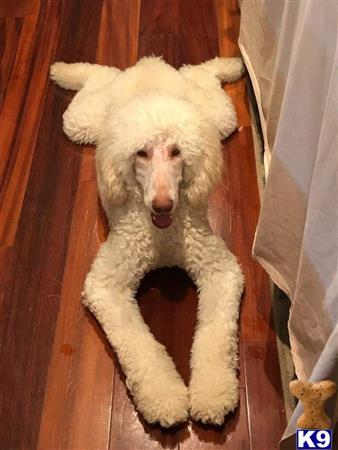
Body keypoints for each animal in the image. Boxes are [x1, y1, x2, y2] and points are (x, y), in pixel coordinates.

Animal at [50, 55, 244, 426]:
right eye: (141, 153)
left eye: (177, 151)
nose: (163, 204)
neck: (163, 234)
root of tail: (148, 64)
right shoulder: (106, 284)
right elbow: (139, 344)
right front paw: (164, 397)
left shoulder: (221, 270)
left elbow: (217, 334)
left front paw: (212, 392)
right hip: (81, 121)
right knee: (96, 77)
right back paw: (64, 70)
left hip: (219, 116)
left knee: (202, 74)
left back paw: (230, 65)